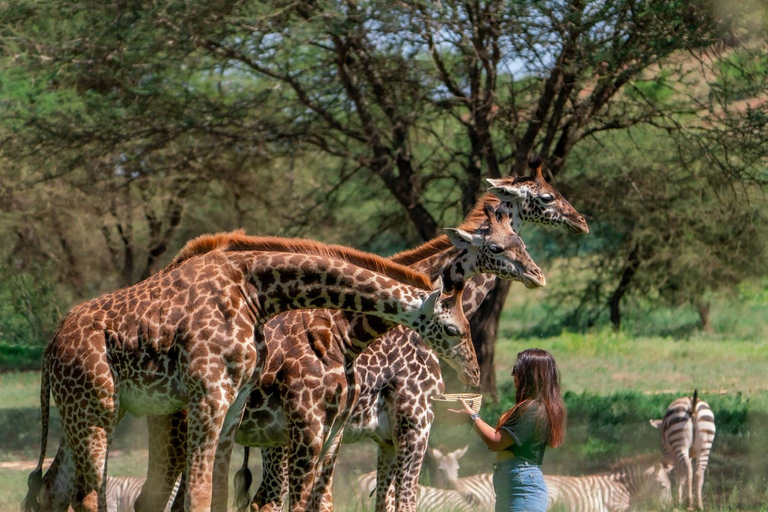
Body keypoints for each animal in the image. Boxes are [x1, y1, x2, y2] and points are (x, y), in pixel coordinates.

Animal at [22, 236, 474, 512]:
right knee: (89, 496)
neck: (256, 291)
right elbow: (203, 496)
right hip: (98, 413)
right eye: (454, 329)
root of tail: (50, 347)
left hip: (92, 411)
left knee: (56, 489)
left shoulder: (235, 405)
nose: (471, 372)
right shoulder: (211, 397)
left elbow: (222, 494)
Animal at [240, 160, 588, 512]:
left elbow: (385, 503)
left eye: (522, 243)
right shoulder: (416, 422)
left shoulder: (386, 438)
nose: (582, 222)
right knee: (268, 500)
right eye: (546, 197)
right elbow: (407, 501)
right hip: (283, 436)